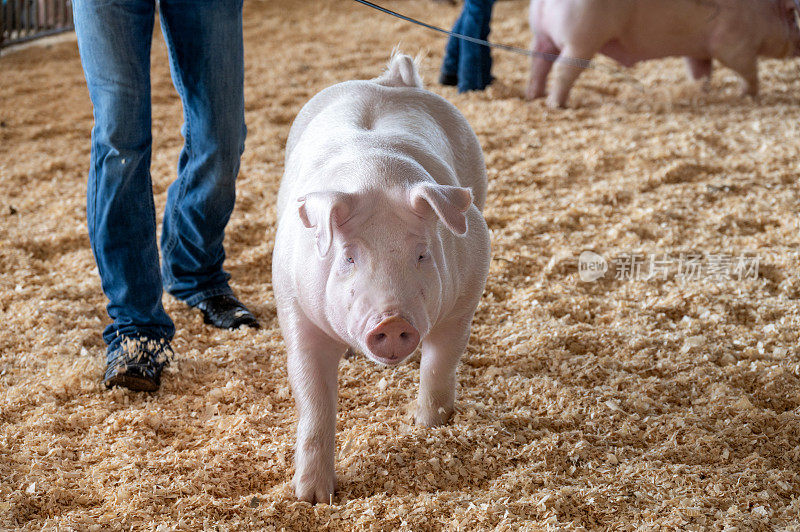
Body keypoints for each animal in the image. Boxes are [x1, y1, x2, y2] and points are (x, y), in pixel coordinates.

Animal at [272, 53, 490, 502]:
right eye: (348, 257)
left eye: (422, 253)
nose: (391, 321)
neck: (375, 172)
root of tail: (389, 83)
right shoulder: (295, 308)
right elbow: (314, 399)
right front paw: (312, 499)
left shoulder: (466, 296)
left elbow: (440, 362)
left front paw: (428, 426)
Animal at [524, 0, 800, 107]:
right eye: (793, 17)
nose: (798, 47)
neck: (763, 13)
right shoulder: (734, 45)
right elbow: (748, 70)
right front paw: (749, 95)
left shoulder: (698, 50)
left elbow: (700, 71)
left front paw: (701, 92)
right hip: (581, 40)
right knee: (563, 69)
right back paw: (556, 104)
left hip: (541, 36)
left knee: (539, 64)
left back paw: (534, 96)